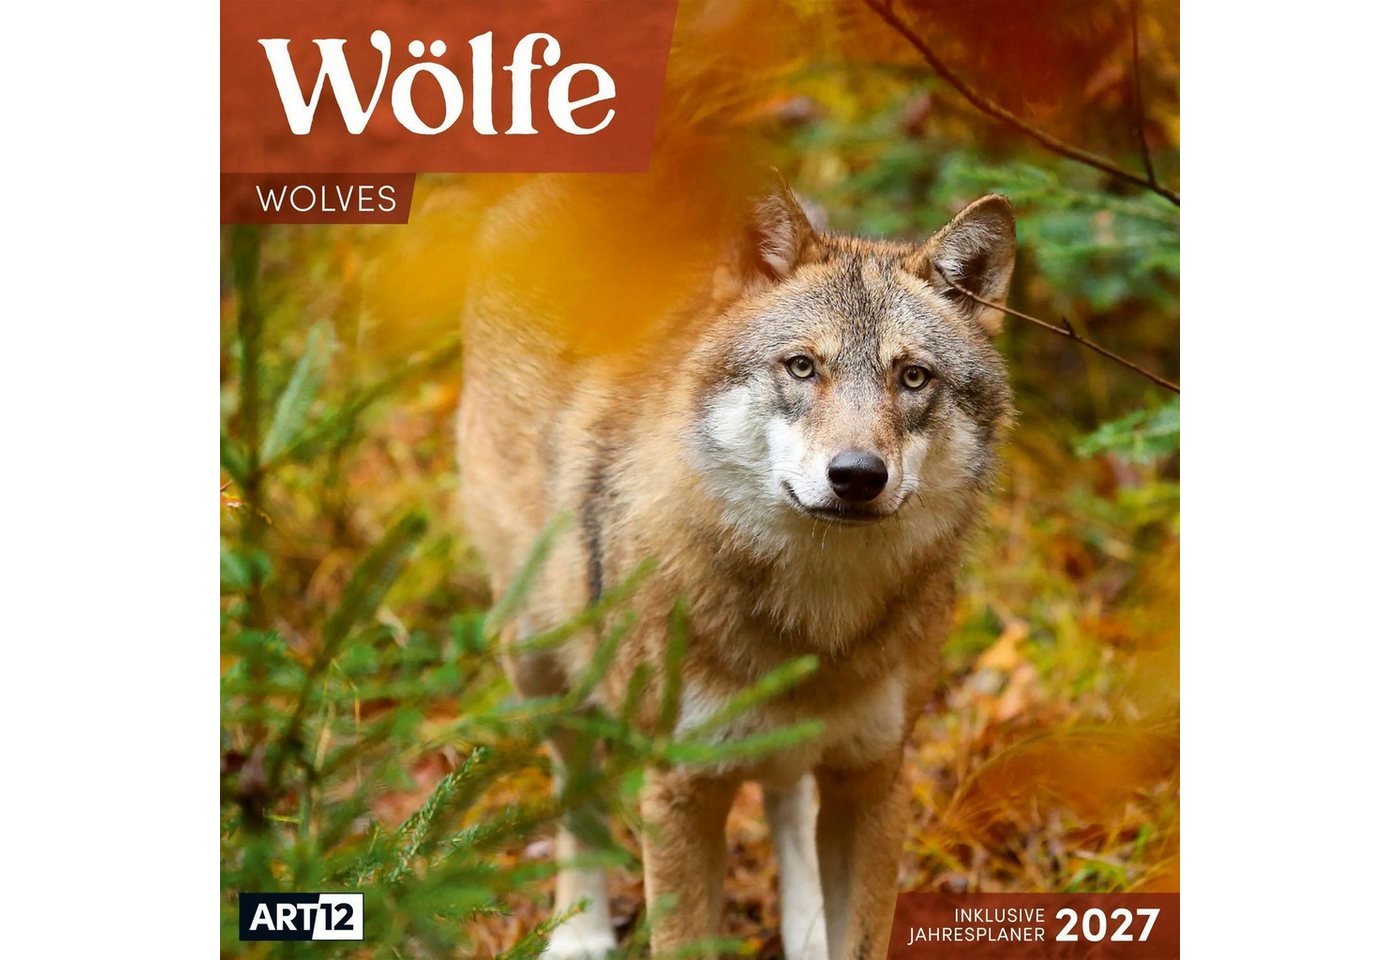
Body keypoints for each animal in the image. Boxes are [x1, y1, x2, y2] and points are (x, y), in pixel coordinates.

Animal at [458, 179, 1015, 960]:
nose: (856, 476)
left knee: (787, 798)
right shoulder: (680, 790)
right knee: (576, 788)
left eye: (912, 377)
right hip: (541, 657)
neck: (814, 623)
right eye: (802, 366)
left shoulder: (874, 780)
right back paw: (581, 934)